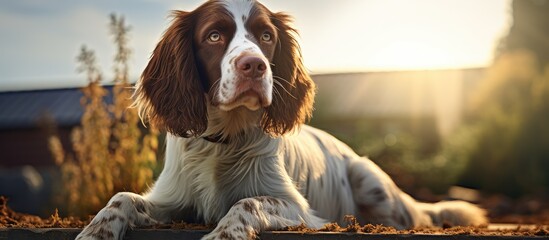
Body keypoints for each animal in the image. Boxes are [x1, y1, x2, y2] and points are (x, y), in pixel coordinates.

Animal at [75, 0, 486, 239]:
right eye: (214, 36)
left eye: (267, 35)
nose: (254, 65)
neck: (225, 139)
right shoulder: (174, 201)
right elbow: (122, 197)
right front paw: (96, 231)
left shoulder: (295, 206)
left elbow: (247, 202)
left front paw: (224, 233)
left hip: (371, 183)